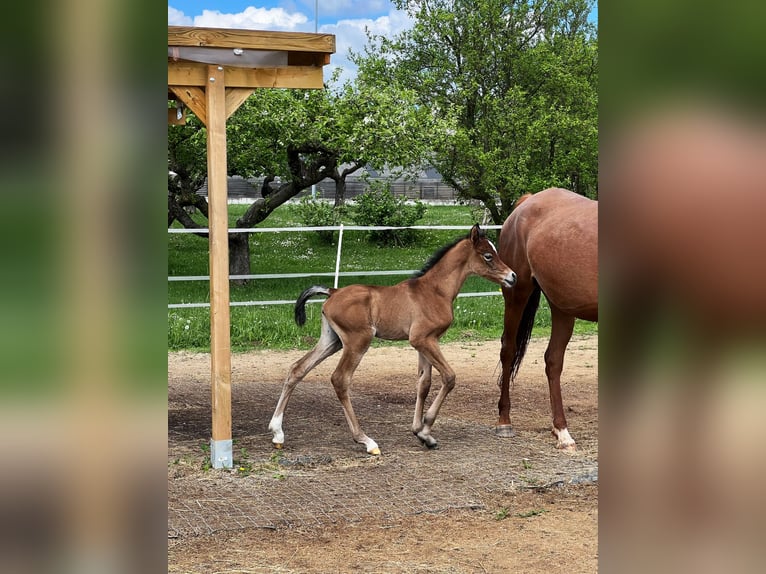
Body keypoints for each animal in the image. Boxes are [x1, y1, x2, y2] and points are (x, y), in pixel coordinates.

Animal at [268, 225, 516, 454]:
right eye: (488, 255)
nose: (512, 277)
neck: (435, 291)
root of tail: (333, 291)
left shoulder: (424, 342)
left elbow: (424, 383)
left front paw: (421, 433)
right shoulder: (424, 340)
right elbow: (449, 377)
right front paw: (426, 429)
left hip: (332, 341)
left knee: (298, 368)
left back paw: (278, 433)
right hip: (358, 341)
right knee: (340, 379)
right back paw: (366, 441)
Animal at [498, 188, 600, 450]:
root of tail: (527, 202)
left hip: (561, 307)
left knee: (553, 360)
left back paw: (560, 430)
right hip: (516, 294)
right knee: (508, 351)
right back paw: (504, 421)